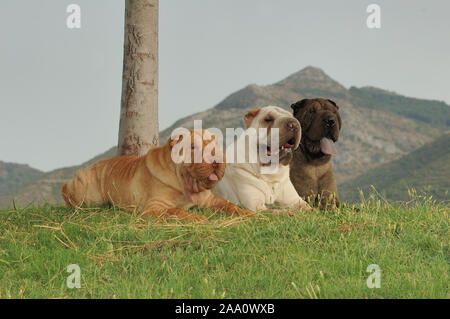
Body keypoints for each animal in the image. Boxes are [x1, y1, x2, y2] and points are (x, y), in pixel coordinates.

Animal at [61, 129, 255, 221]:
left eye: (216, 145)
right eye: (193, 147)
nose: (217, 159)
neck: (184, 184)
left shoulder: (211, 200)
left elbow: (231, 206)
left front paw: (249, 214)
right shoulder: (155, 207)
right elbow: (177, 211)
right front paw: (197, 218)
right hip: (87, 194)